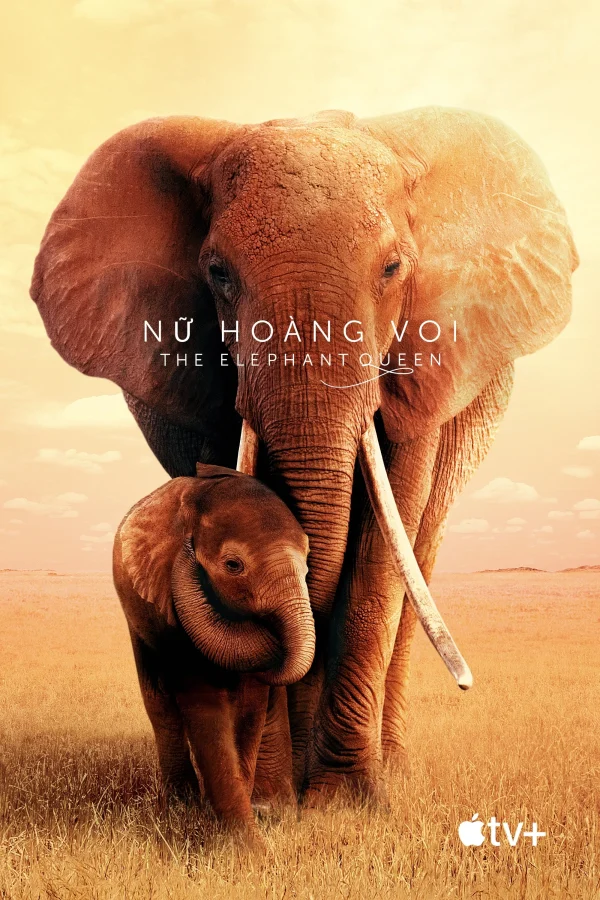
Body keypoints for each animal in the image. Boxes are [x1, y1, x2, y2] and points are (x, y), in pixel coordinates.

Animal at [113, 462, 314, 834]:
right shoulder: (167, 601)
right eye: (233, 565)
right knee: (160, 704)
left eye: (307, 565)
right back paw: (179, 805)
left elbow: (249, 707)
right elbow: (201, 695)